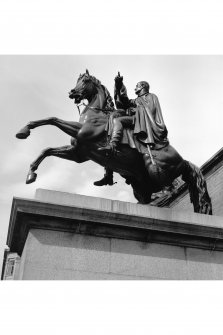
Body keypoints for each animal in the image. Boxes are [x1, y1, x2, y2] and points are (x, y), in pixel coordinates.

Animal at [16, 70, 213, 215]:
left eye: (85, 81)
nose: (72, 92)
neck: (95, 112)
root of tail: (183, 160)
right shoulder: (77, 153)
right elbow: (47, 149)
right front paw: (31, 173)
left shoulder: (83, 133)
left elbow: (53, 119)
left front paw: (24, 130)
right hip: (140, 184)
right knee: (148, 196)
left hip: (155, 168)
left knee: (170, 188)